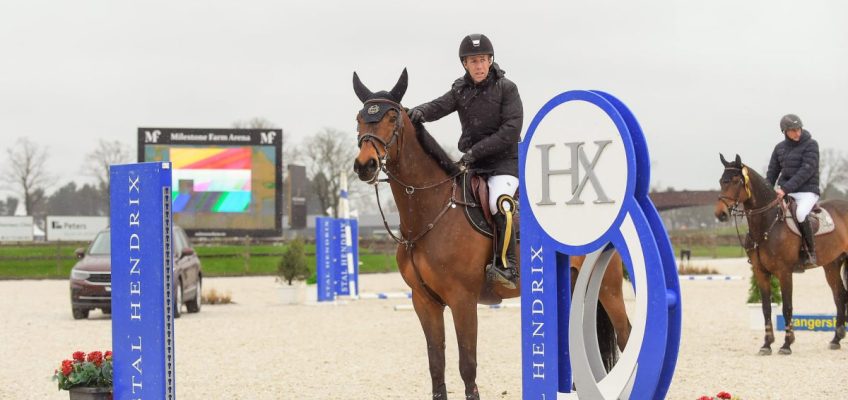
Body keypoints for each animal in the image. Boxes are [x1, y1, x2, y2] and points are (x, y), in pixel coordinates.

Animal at [350, 67, 628, 398]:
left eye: (392, 117)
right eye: (359, 118)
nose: (365, 165)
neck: (430, 212)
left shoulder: (462, 300)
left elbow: (467, 366)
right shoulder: (424, 302)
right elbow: (436, 366)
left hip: (609, 290)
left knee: (625, 335)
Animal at [716, 153, 848, 354]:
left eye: (737, 181)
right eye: (721, 181)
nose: (721, 214)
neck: (767, 223)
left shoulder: (784, 272)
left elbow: (787, 307)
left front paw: (787, 344)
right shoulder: (761, 272)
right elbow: (766, 308)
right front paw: (766, 344)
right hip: (831, 265)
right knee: (840, 295)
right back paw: (836, 339)